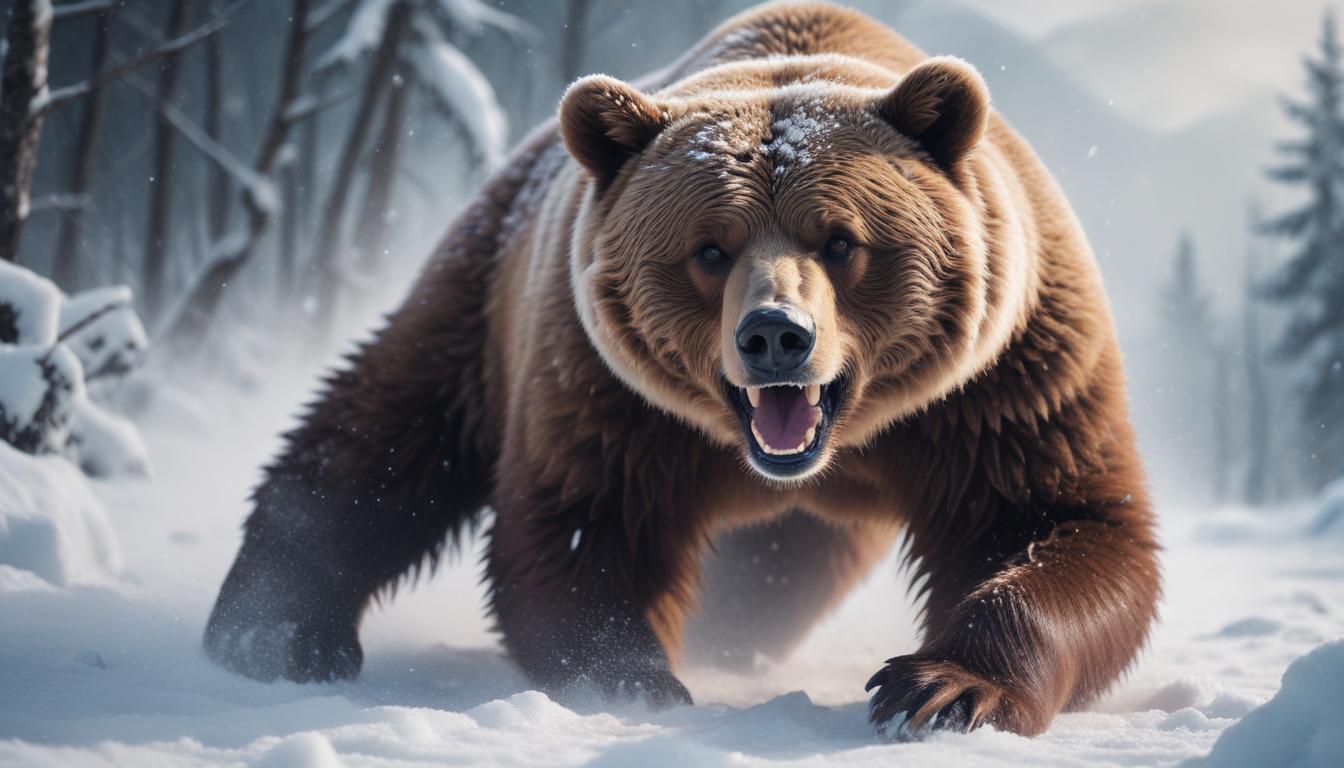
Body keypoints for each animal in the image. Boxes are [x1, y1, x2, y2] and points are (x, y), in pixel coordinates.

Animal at [204, 1, 1160, 740]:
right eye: (709, 248)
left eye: (840, 240)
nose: (775, 335)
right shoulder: (609, 390)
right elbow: (586, 528)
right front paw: (634, 677)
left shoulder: (1001, 384)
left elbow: (1052, 520)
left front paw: (943, 688)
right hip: (486, 284)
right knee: (389, 425)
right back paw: (274, 627)